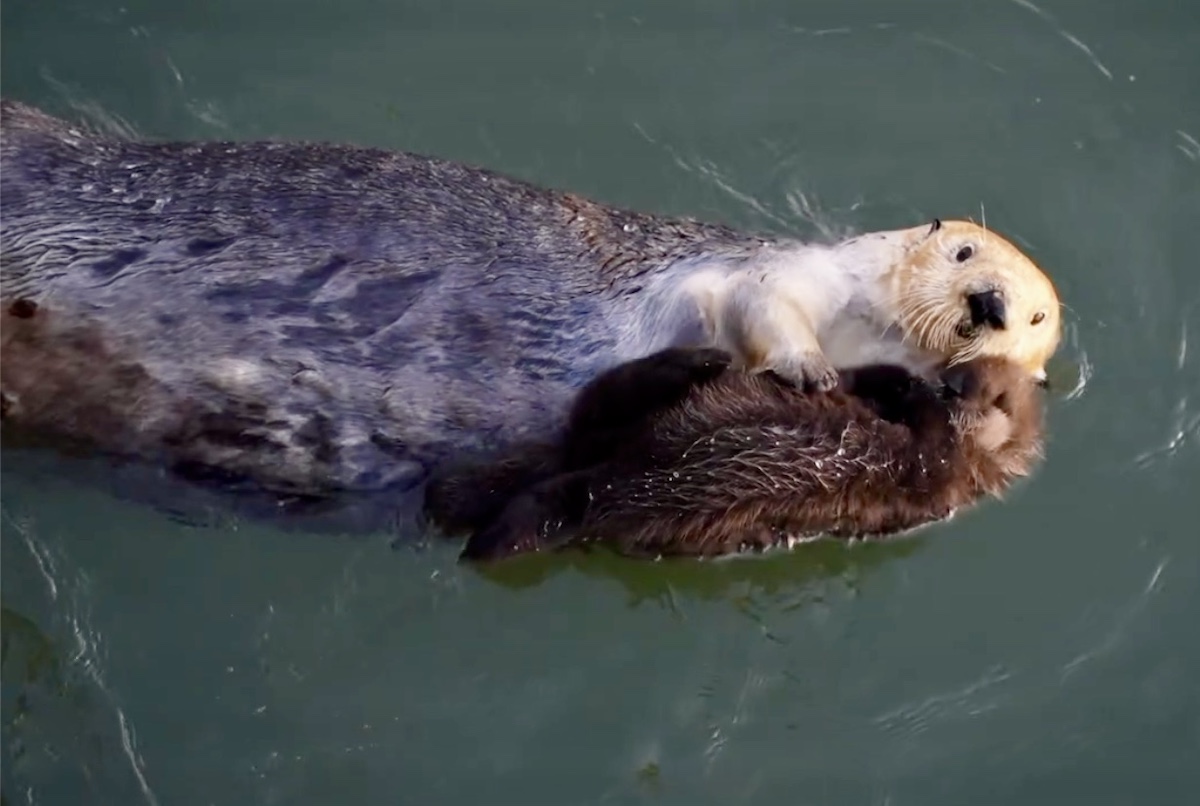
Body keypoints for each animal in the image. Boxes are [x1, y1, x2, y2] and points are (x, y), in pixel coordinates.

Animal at [0, 98, 1060, 496]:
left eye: (1039, 315)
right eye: (964, 248)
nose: (991, 305)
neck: (862, 332)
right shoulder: (759, 275)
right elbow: (754, 308)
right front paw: (803, 367)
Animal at [425, 347, 1045, 560]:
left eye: (979, 391)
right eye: (955, 370)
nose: (945, 384)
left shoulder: (935, 485)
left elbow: (929, 449)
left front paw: (917, 396)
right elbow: (860, 378)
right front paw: (898, 378)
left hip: (626, 500)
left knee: (565, 499)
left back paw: (490, 535)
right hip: (619, 432)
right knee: (606, 403)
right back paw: (702, 359)